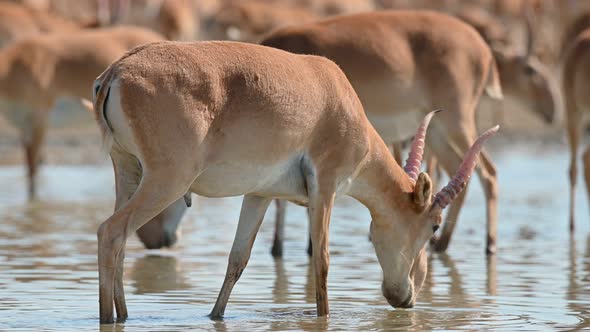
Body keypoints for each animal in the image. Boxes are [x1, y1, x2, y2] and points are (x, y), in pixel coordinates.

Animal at [262, 10, 502, 254]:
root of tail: (482, 47)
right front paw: (279, 248)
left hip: (457, 123)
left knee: (488, 173)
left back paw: (485, 245)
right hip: (437, 132)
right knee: (459, 168)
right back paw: (443, 244)